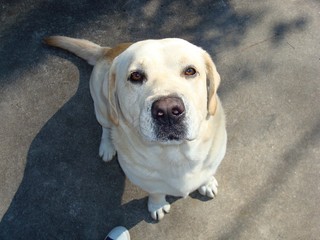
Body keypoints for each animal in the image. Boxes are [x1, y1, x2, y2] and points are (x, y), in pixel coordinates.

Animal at [45, 34, 228, 220]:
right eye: (136, 76)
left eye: (190, 71)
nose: (167, 110)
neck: (176, 154)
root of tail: (108, 50)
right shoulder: (146, 181)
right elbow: (156, 192)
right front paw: (157, 205)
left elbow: (207, 173)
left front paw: (207, 183)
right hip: (102, 106)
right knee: (106, 127)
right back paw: (107, 146)